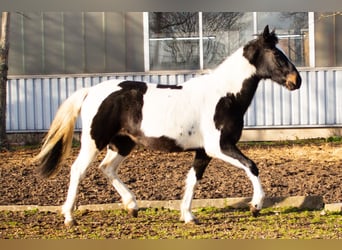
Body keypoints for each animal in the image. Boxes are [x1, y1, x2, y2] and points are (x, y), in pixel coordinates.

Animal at [35, 25, 302, 227]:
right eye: (278, 55)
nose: (296, 81)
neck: (225, 95)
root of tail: (90, 91)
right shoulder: (219, 147)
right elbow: (252, 166)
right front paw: (255, 206)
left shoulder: (204, 152)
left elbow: (193, 180)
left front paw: (188, 216)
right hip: (94, 141)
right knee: (77, 170)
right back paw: (69, 217)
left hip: (122, 143)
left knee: (107, 168)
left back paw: (132, 206)